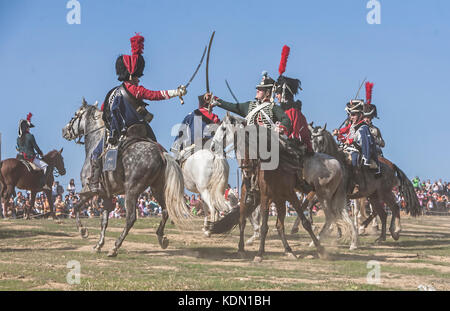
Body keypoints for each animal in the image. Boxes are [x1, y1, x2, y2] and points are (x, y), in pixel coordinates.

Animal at [62, 100, 191, 258]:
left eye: (75, 115)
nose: (64, 131)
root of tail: (161, 154)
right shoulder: (106, 195)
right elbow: (104, 221)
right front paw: (98, 245)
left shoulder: (90, 191)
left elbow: (76, 207)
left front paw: (83, 231)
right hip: (156, 189)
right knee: (166, 211)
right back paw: (161, 238)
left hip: (131, 191)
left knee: (130, 218)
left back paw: (115, 247)